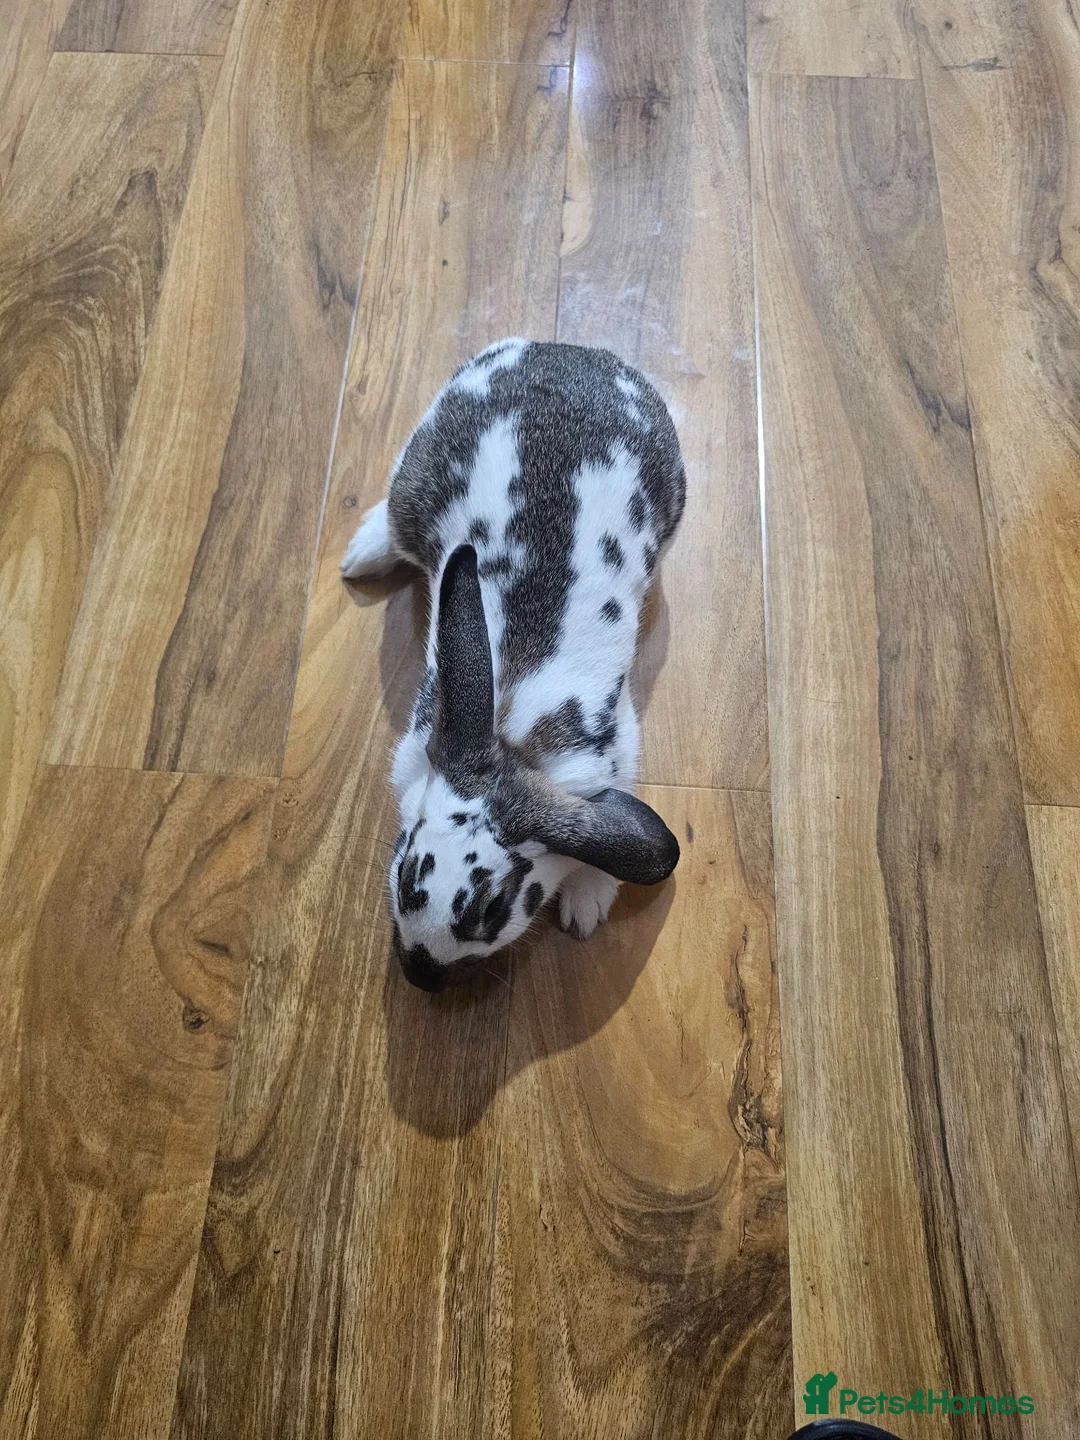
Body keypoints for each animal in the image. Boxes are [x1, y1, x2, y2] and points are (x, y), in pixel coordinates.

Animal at [341, 338, 686, 991]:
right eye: (406, 876)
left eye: (492, 911)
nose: (420, 975)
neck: (516, 743)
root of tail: (565, 351)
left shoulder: (619, 753)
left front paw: (584, 906)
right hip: (414, 484)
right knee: (394, 526)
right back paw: (360, 555)